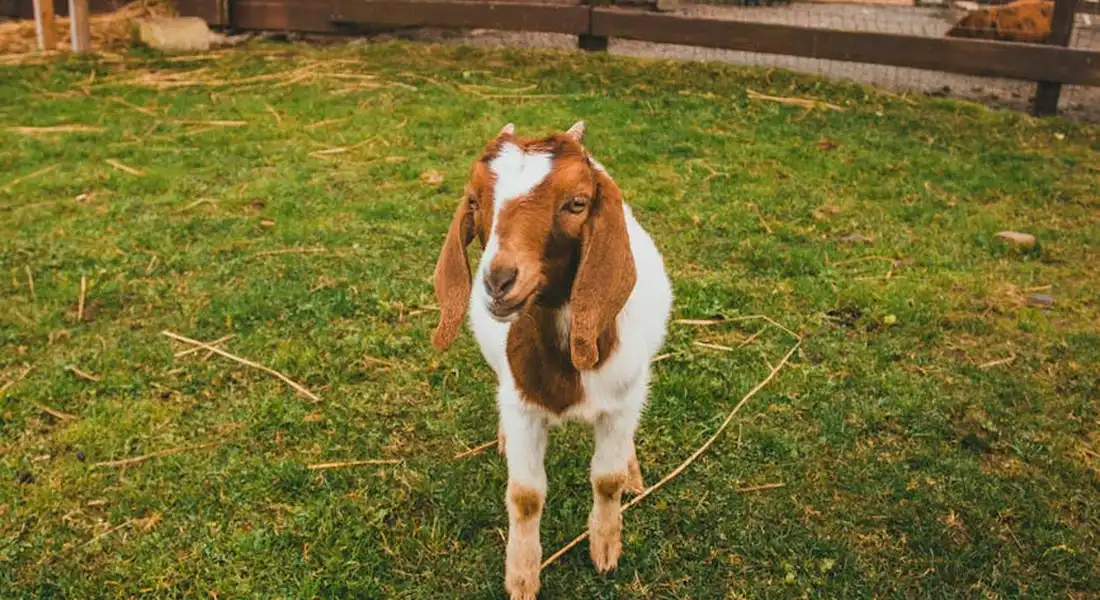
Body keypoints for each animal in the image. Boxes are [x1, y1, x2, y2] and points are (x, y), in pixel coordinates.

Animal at [431, 121, 673, 599]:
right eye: (474, 200)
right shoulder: (523, 405)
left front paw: (605, 548)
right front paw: (522, 576)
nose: (499, 281)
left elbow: (607, 479)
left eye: (576, 202)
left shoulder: (622, 401)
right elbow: (525, 495)